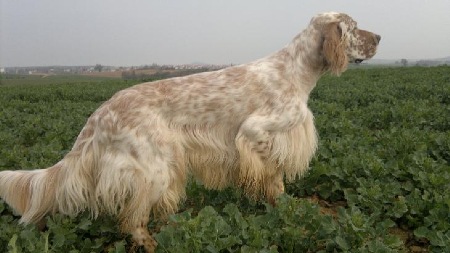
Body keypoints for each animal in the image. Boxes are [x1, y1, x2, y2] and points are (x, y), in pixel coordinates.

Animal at [0, 12, 380, 253]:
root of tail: (101, 112)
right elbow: (272, 177)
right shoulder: (255, 131)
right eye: (354, 26)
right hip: (152, 169)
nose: (379, 37)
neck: (296, 70)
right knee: (131, 219)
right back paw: (153, 243)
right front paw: (282, 209)